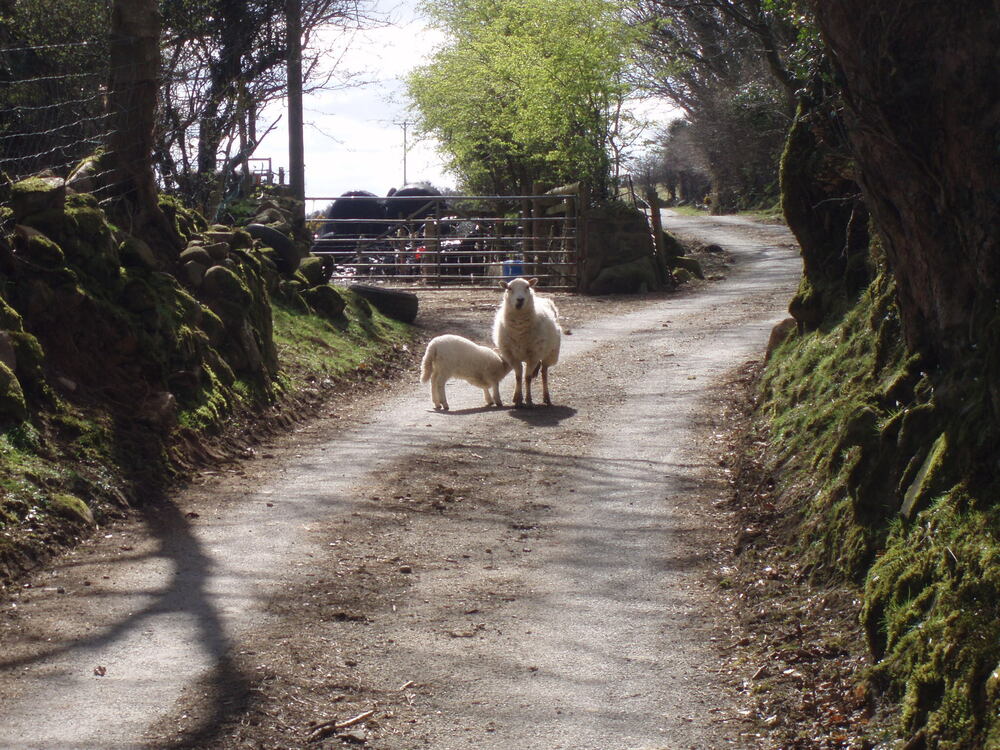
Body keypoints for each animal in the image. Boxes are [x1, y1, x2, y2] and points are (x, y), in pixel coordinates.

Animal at [492, 278, 564, 408]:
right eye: (509, 288)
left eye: (527, 287)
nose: (520, 299)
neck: (519, 330)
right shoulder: (511, 356)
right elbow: (518, 377)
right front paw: (518, 399)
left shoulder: (534, 355)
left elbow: (528, 378)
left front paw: (529, 400)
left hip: (550, 353)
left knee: (544, 373)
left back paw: (547, 397)